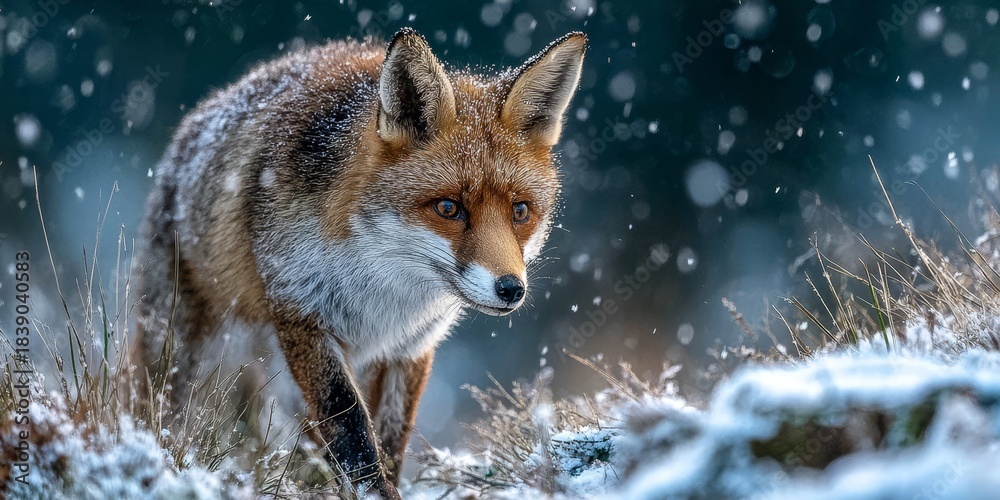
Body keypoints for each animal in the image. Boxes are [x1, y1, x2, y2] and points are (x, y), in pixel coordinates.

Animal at [135, 28, 586, 498]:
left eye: (520, 211)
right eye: (448, 208)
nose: (511, 289)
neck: (382, 289)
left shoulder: (411, 346)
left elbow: (390, 436)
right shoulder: (303, 318)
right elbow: (349, 424)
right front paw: (373, 491)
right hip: (184, 348)